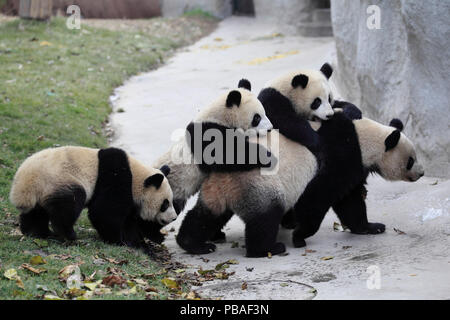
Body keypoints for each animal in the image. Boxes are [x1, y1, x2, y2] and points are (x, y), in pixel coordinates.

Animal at [10, 146, 176, 251]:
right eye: (165, 204)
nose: (174, 218)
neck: (137, 177)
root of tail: (24, 181)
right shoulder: (115, 177)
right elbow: (104, 212)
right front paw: (118, 241)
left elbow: (130, 221)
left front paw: (139, 243)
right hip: (59, 180)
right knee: (70, 204)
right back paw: (69, 235)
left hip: (42, 190)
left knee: (36, 212)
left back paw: (36, 232)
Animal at [177, 112, 426, 258]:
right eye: (410, 160)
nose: (422, 173)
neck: (362, 138)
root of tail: (225, 179)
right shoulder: (340, 155)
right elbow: (319, 195)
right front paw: (300, 234)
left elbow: (350, 201)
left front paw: (369, 227)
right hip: (260, 184)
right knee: (265, 218)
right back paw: (267, 249)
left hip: (221, 190)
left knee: (207, 215)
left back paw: (192, 243)